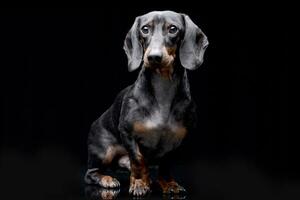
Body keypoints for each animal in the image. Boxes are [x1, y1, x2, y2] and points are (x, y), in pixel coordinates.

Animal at [83, 10, 207, 196]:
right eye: (145, 29)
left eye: (173, 29)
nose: (154, 57)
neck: (163, 88)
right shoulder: (128, 133)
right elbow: (138, 160)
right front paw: (139, 184)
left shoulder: (177, 140)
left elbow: (165, 164)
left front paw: (168, 184)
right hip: (104, 151)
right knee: (91, 173)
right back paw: (108, 179)